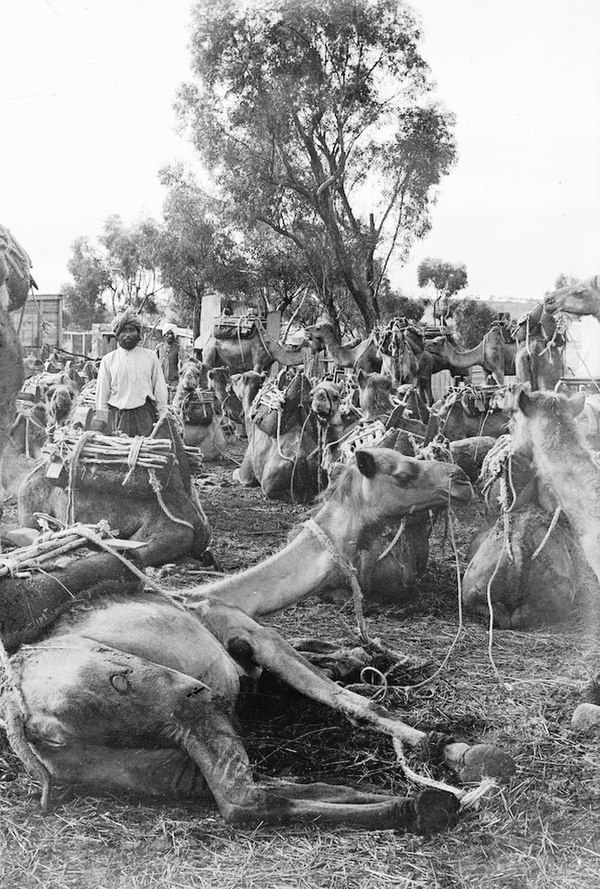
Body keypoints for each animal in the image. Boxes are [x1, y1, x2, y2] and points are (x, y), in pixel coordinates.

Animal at [2, 448, 512, 828]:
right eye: (403, 470)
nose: (461, 478)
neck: (212, 598)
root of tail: (25, 718)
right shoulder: (252, 632)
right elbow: (352, 699)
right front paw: (456, 748)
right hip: (167, 694)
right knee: (241, 801)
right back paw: (424, 805)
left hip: (142, 767)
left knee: (233, 788)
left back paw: (386, 795)